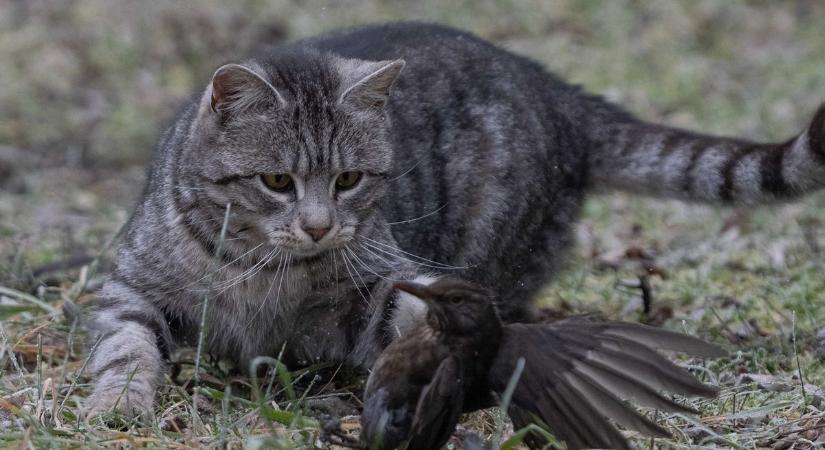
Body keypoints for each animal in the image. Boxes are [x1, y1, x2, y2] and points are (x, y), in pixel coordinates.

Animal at [85, 22, 824, 418]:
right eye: (276, 182)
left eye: (348, 180)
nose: (321, 227)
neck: (264, 272)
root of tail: (559, 92)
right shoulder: (130, 283)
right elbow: (124, 346)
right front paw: (116, 405)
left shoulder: (382, 283)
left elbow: (411, 312)